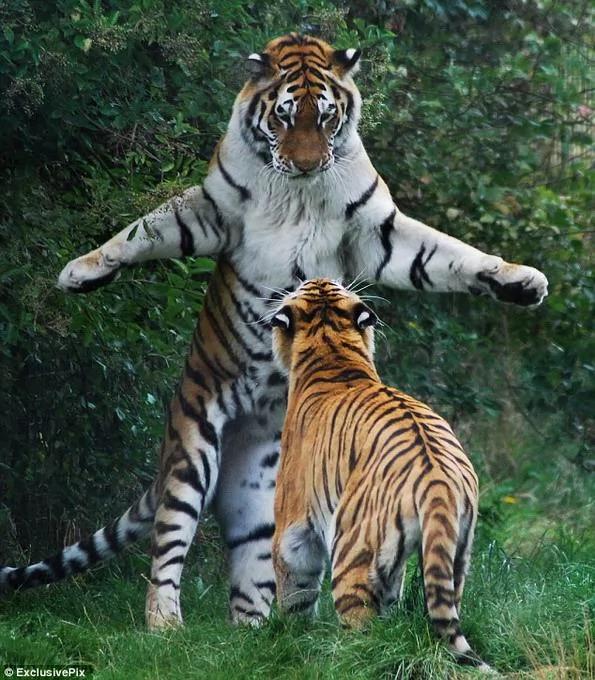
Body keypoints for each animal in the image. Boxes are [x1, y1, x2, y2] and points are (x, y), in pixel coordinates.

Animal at [271, 278, 486, 669]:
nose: (319, 278)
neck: (333, 350)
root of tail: (437, 480)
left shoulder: (292, 526)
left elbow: (295, 590)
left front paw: (290, 639)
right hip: (456, 552)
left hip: (350, 551)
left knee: (363, 635)